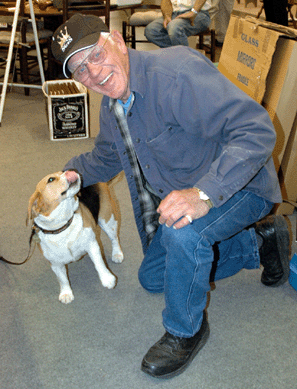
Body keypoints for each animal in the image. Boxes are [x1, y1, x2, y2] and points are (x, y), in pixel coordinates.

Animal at [26, 170, 122, 304]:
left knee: (114, 238)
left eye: (61, 172)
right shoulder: (55, 263)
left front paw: (107, 278)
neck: (63, 226)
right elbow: (62, 279)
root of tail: (101, 181)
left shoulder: (92, 245)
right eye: (51, 179)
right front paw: (66, 293)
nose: (69, 171)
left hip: (108, 220)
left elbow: (99, 263)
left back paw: (117, 254)